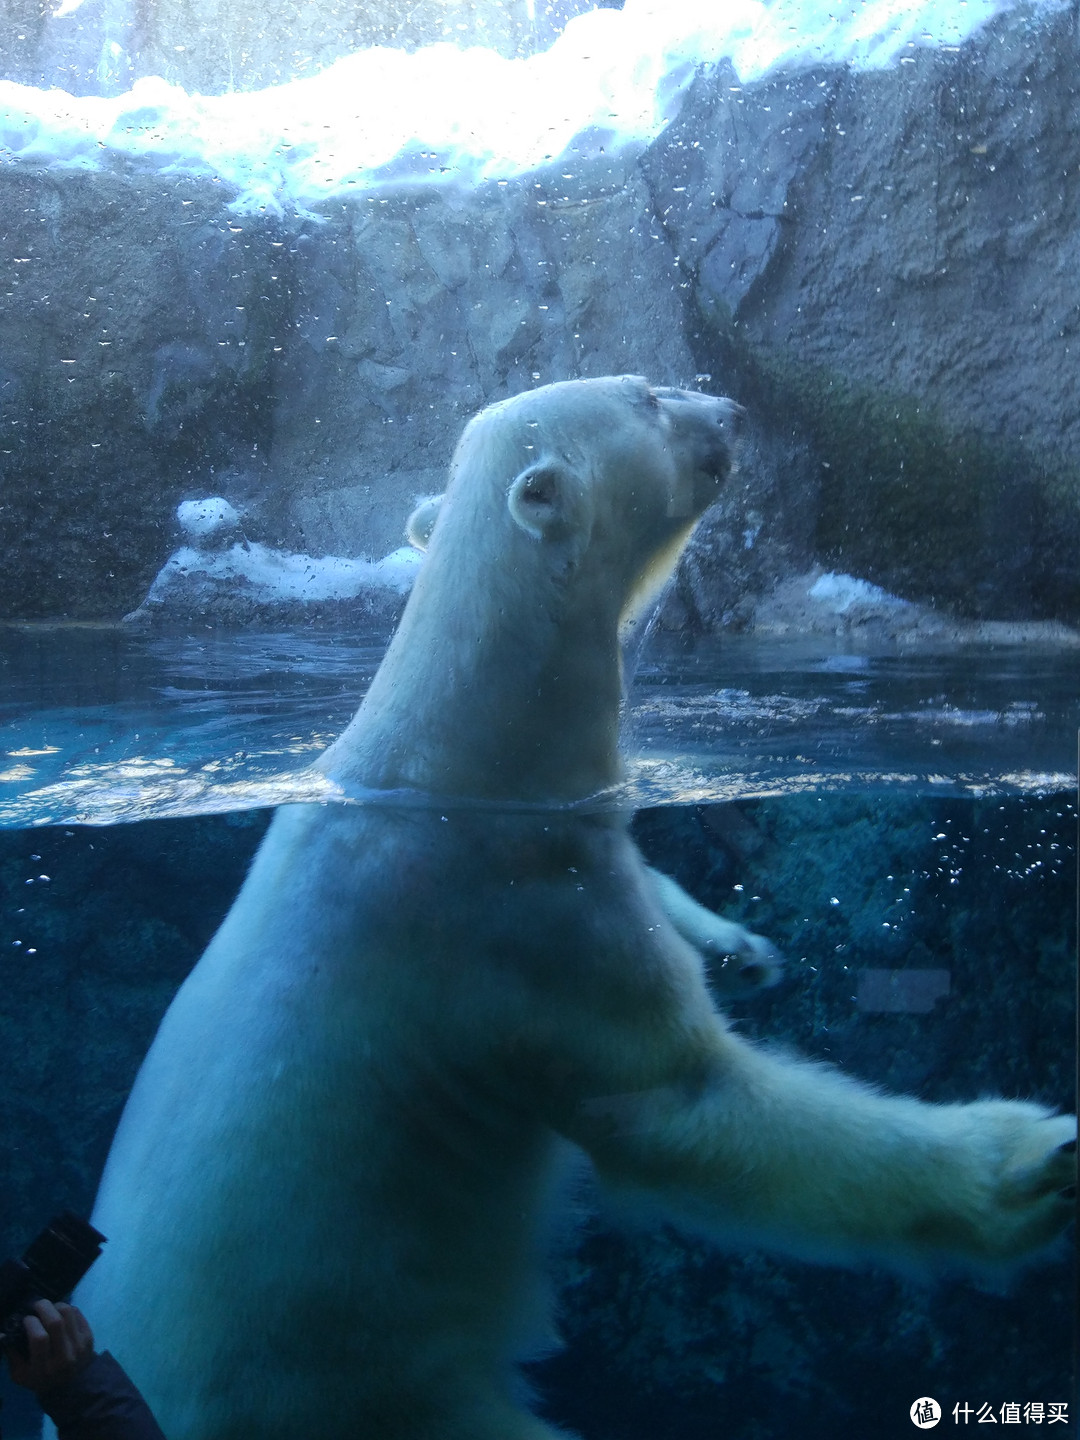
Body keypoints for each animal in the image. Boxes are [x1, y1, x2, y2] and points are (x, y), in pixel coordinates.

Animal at [76, 377, 1077, 1434]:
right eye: (645, 395)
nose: (729, 408)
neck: (461, 769)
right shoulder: (521, 931)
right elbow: (683, 1097)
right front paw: (1028, 1160)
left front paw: (737, 945)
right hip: (361, 1378)